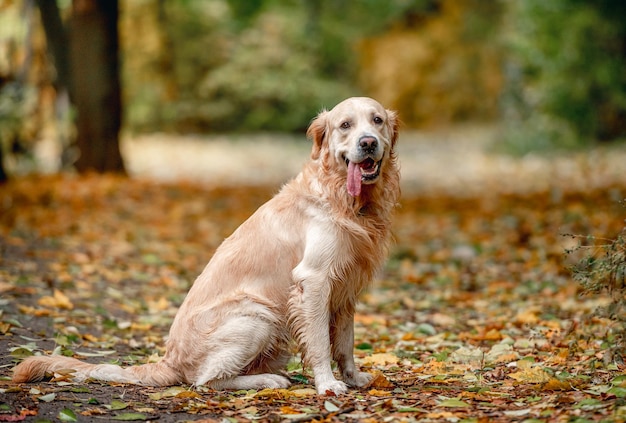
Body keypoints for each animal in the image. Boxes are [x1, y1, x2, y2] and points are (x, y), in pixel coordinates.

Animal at [13, 96, 400, 398]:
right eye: (345, 125)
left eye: (377, 120)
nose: (368, 143)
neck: (347, 202)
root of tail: (168, 360)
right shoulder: (314, 280)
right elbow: (320, 342)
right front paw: (327, 385)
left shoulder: (346, 287)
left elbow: (345, 343)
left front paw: (355, 377)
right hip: (257, 314)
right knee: (205, 380)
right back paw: (268, 380)